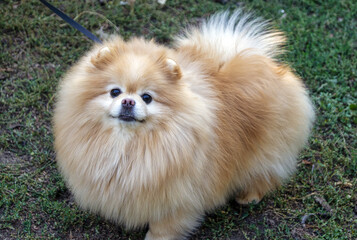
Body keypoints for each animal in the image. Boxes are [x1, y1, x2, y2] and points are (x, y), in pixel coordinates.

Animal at [53, 9, 314, 240]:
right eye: (115, 92)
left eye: (147, 97)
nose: (128, 101)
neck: (129, 145)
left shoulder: (177, 197)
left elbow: (164, 227)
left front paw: (155, 238)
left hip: (267, 147)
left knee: (265, 172)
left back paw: (249, 196)